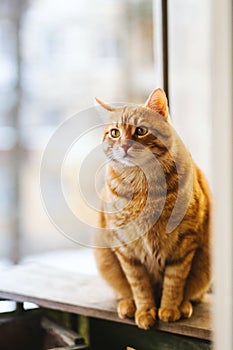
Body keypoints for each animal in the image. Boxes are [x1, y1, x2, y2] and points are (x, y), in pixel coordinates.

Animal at [93, 89, 212, 330]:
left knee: (195, 294)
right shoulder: (126, 250)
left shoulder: (184, 244)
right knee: (123, 291)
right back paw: (128, 305)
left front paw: (169, 309)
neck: (142, 186)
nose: (125, 145)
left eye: (141, 130)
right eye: (114, 133)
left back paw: (184, 305)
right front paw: (145, 311)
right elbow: (139, 285)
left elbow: (174, 281)